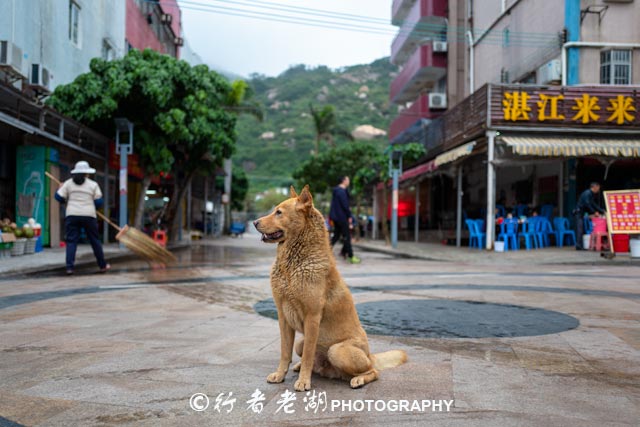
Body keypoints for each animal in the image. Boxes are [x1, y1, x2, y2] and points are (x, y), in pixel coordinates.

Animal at [252, 186, 408, 392]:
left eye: (279, 212)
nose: (254, 222)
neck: (293, 264)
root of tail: (370, 355)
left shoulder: (312, 317)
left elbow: (308, 354)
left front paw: (304, 381)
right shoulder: (283, 316)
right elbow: (285, 352)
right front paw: (280, 375)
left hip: (337, 351)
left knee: (373, 372)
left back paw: (358, 379)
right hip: (301, 343)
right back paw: (302, 367)